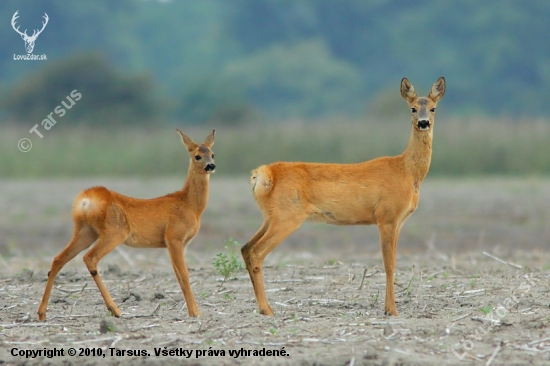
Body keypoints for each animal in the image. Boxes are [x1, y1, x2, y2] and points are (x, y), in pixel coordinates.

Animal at [37, 130, 216, 318]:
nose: (211, 166)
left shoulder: (177, 243)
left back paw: (42, 313)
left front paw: (193, 311)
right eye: (197, 156)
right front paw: (195, 313)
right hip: (115, 232)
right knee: (89, 258)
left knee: (58, 259)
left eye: (212, 154)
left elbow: (178, 275)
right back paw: (115, 309)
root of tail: (85, 200)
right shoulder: (174, 237)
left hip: (85, 231)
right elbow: (184, 275)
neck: (190, 205)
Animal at [244, 77, 446, 314]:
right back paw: (267, 309)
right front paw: (392, 310)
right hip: (287, 216)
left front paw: (389, 308)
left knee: (245, 248)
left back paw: (263, 306)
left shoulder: (398, 221)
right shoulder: (387, 217)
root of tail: (262, 175)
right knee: (256, 252)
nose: (423, 123)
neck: (407, 172)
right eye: (413, 108)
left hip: (270, 217)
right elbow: (389, 264)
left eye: (433, 108)